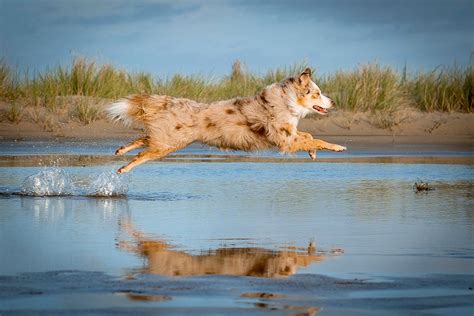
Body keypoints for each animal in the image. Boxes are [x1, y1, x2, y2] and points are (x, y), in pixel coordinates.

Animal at [107, 67, 344, 174]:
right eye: (317, 93)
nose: (333, 101)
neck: (287, 101)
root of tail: (174, 101)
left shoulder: (291, 134)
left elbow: (309, 135)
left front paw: (313, 153)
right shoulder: (286, 140)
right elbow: (317, 139)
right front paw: (338, 147)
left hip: (167, 138)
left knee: (144, 138)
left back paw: (121, 150)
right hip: (170, 143)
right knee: (143, 153)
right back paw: (124, 168)